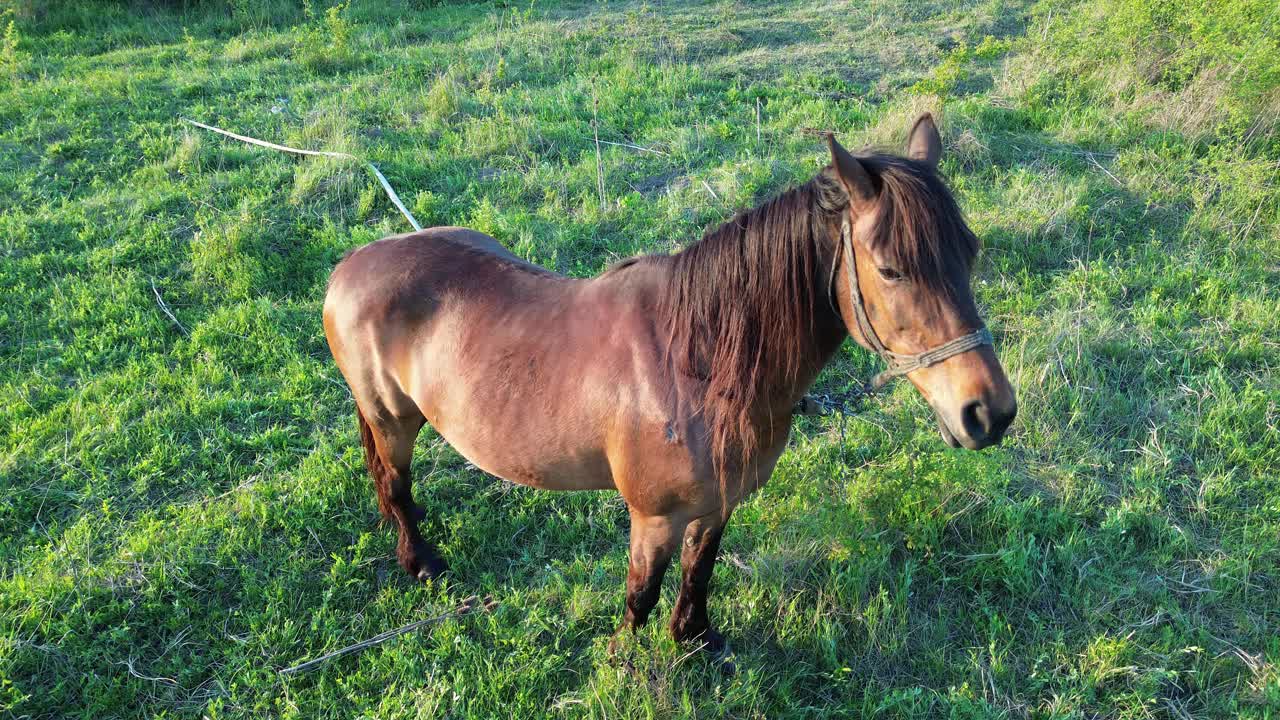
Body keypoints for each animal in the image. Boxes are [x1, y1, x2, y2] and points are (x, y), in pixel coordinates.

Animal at [322, 114, 1018, 661]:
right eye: (892, 269)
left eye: (970, 250)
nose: (990, 413)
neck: (696, 367)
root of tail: (350, 264)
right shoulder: (653, 517)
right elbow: (642, 591)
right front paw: (624, 660)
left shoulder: (719, 503)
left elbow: (698, 570)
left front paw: (696, 639)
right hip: (391, 420)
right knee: (395, 484)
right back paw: (421, 562)